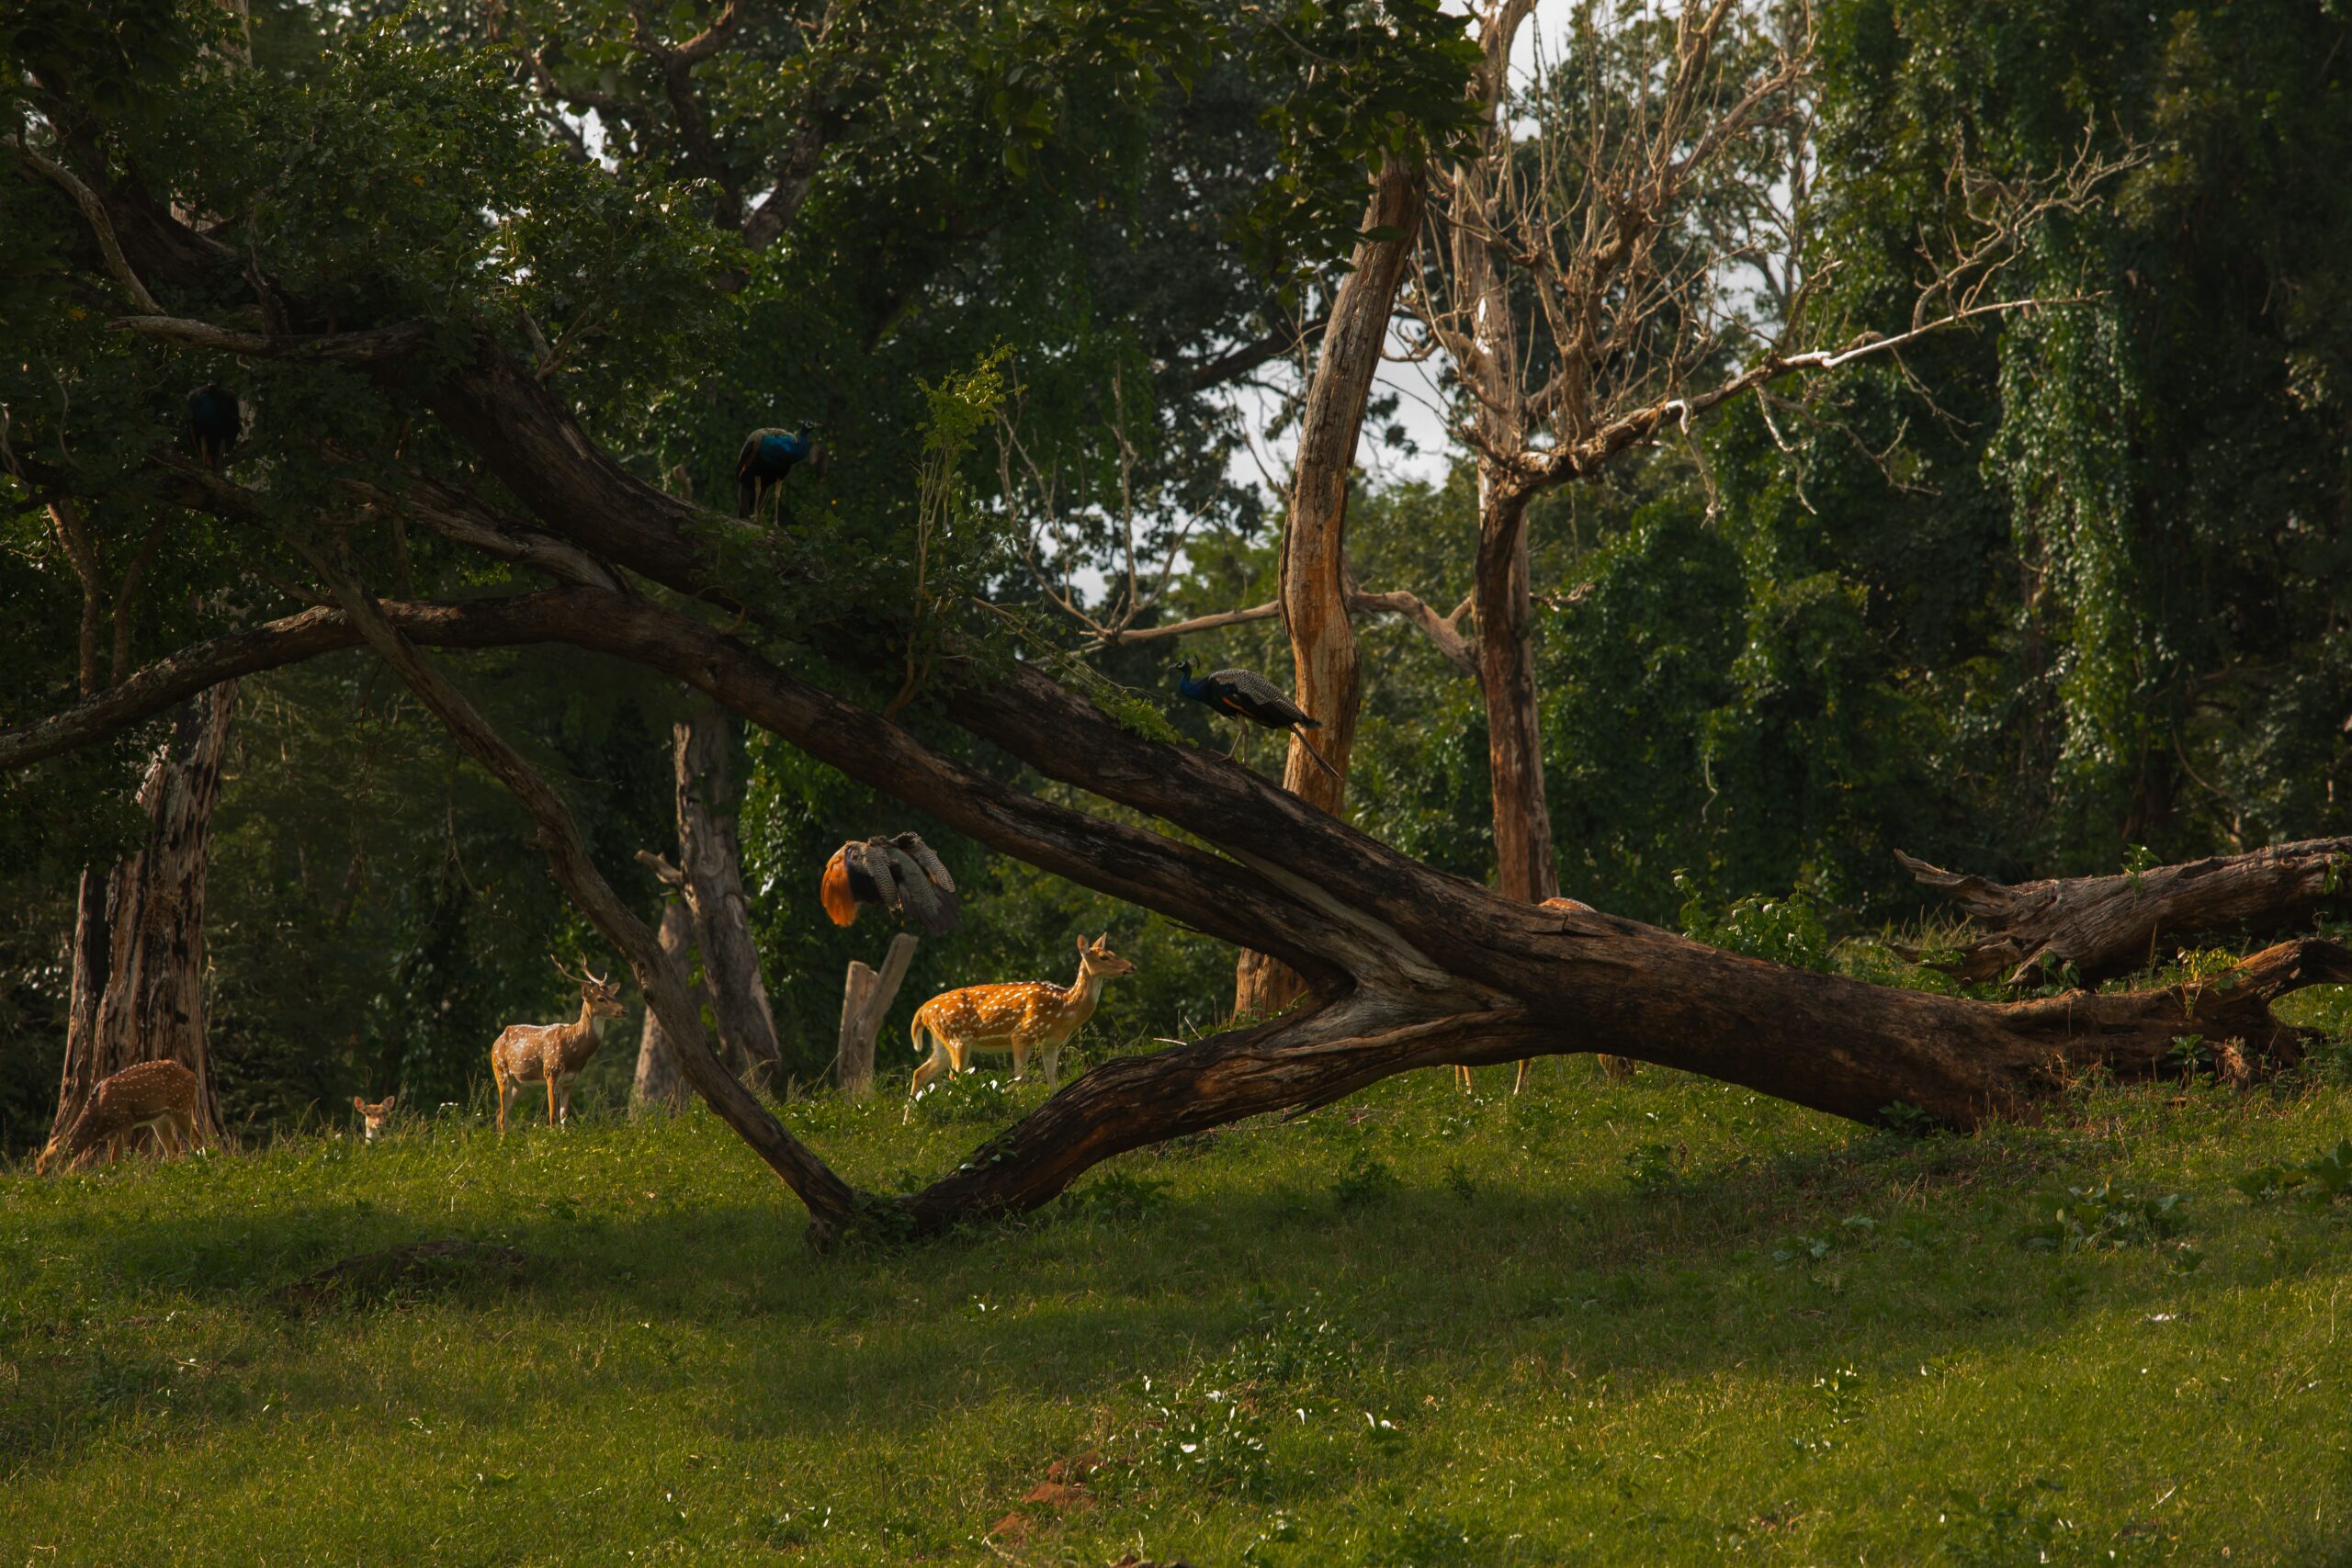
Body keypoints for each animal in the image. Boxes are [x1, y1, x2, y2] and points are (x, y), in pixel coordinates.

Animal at [37, 1059, 201, 1175]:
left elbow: (114, 1160)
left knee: (197, 1141)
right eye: (38, 1163)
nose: (40, 1177)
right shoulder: (112, 1133)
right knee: (174, 1150)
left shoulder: (125, 1123)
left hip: (182, 1107)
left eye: (46, 1162)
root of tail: (194, 1077)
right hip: (161, 1119)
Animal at [491, 957, 627, 1134]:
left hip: (520, 1083)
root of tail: (495, 1043)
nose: (624, 1011)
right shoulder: (550, 1072)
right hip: (501, 1072)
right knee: (501, 1115)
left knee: (501, 1112)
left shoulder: (571, 1080)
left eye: (613, 995)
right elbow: (553, 1117)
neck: (574, 1049)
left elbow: (564, 1118)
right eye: (601, 999)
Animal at [907, 934, 1135, 1108]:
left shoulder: (1051, 1043)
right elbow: (1020, 1078)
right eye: (1104, 957)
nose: (1131, 966)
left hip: (942, 1042)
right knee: (954, 1078)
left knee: (920, 1073)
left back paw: (909, 1121)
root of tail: (923, 1010)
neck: (1063, 1009)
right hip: (958, 1038)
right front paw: (1016, 1104)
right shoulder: (1021, 1035)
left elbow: (1052, 1078)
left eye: (1114, 952)